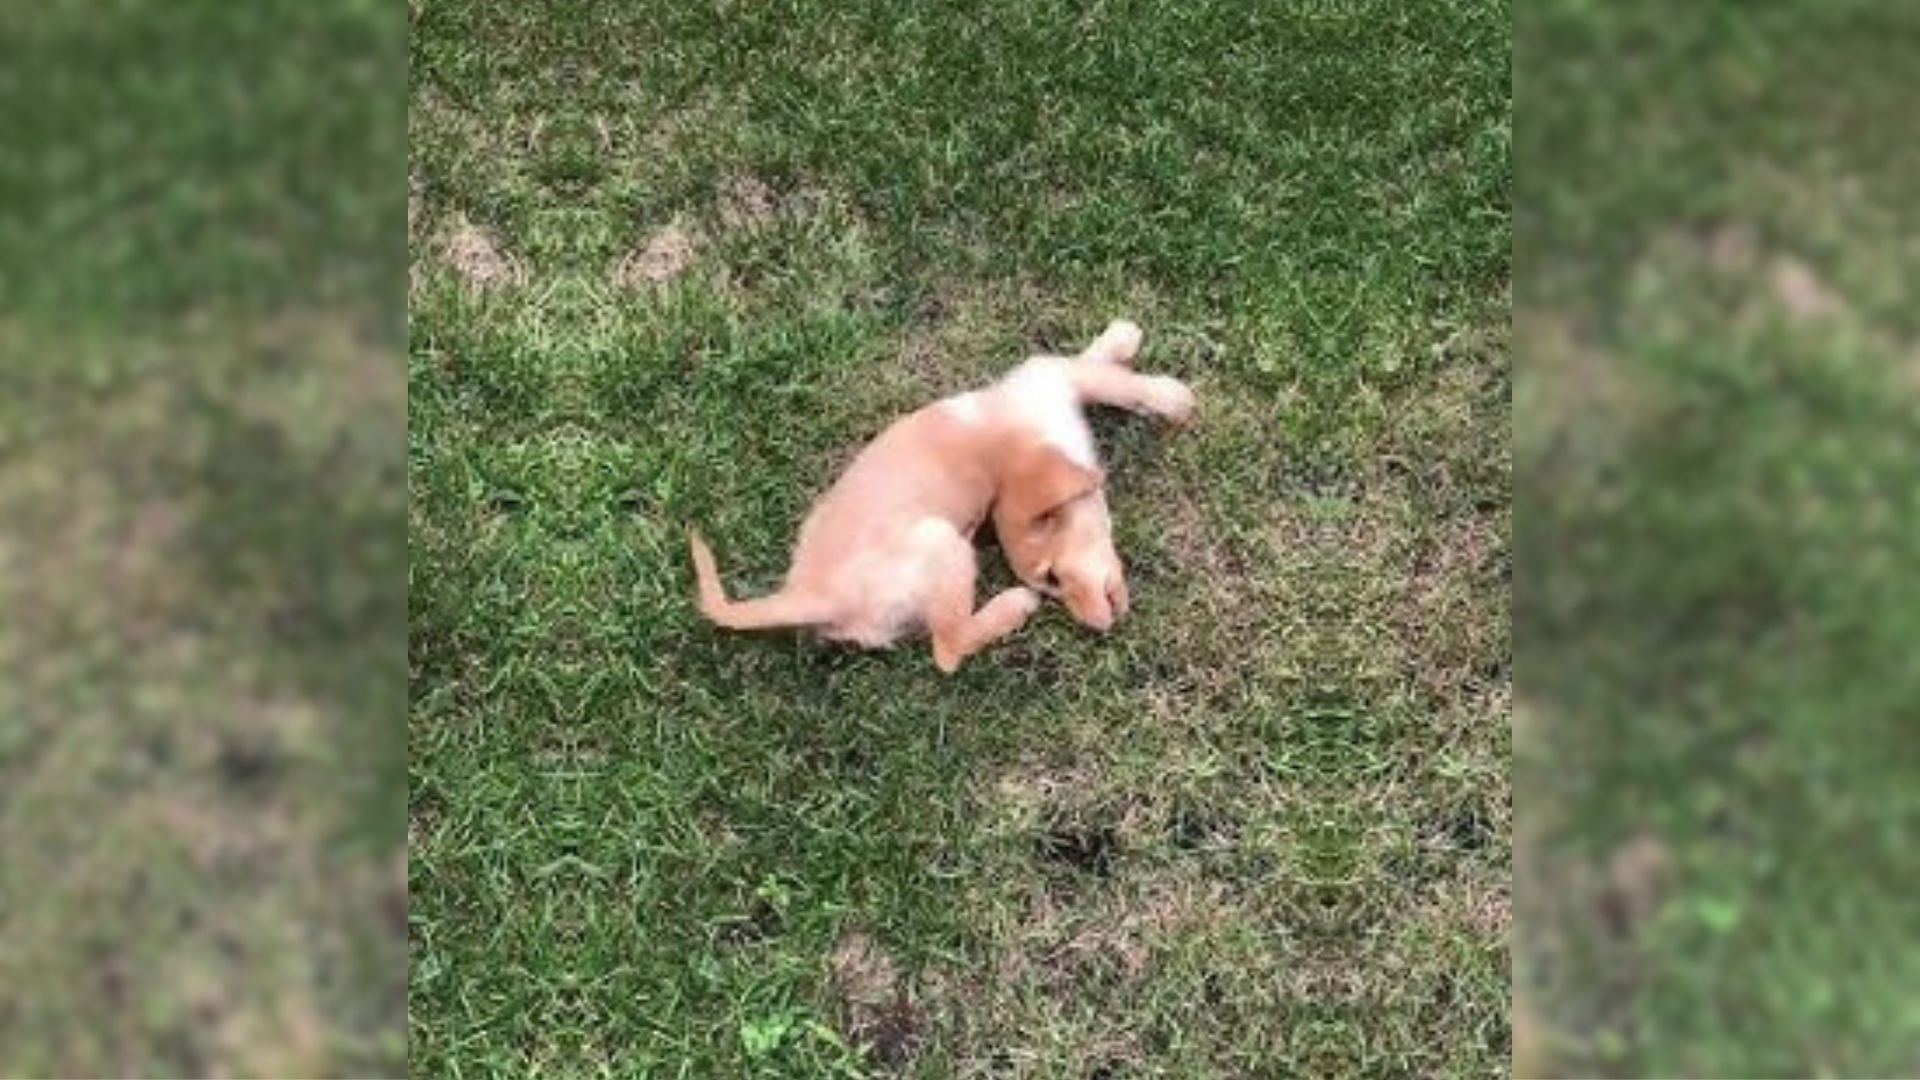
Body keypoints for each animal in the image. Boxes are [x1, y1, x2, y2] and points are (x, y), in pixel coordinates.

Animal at [691, 317, 1190, 664]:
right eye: (1050, 580)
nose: (1096, 628)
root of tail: (809, 594)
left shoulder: (1042, 380)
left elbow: (1087, 362)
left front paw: (1119, 342)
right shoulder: (1044, 389)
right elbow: (1103, 377)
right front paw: (1173, 397)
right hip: (940, 541)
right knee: (949, 649)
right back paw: (1010, 607)